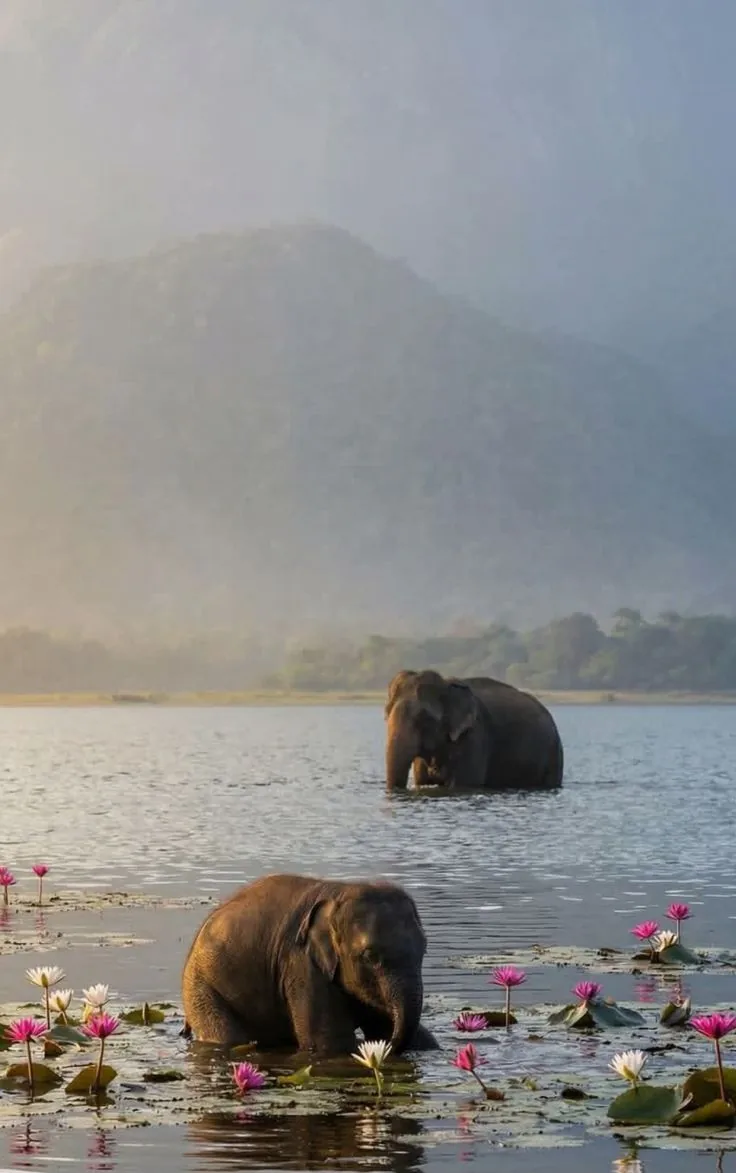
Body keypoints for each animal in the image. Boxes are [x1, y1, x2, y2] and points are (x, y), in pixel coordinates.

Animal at [181, 872, 438, 1055]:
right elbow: (329, 1044)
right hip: (200, 986)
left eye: (425, 948)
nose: (389, 1047)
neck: (340, 892)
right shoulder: (301, 963)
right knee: (228, 1037)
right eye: (370, 956)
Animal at [384, 670, 563, 791]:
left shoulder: (474, 736)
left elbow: (466, 782)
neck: (447, 685)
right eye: (386, 713)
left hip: (553, 755)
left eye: (424, 718)